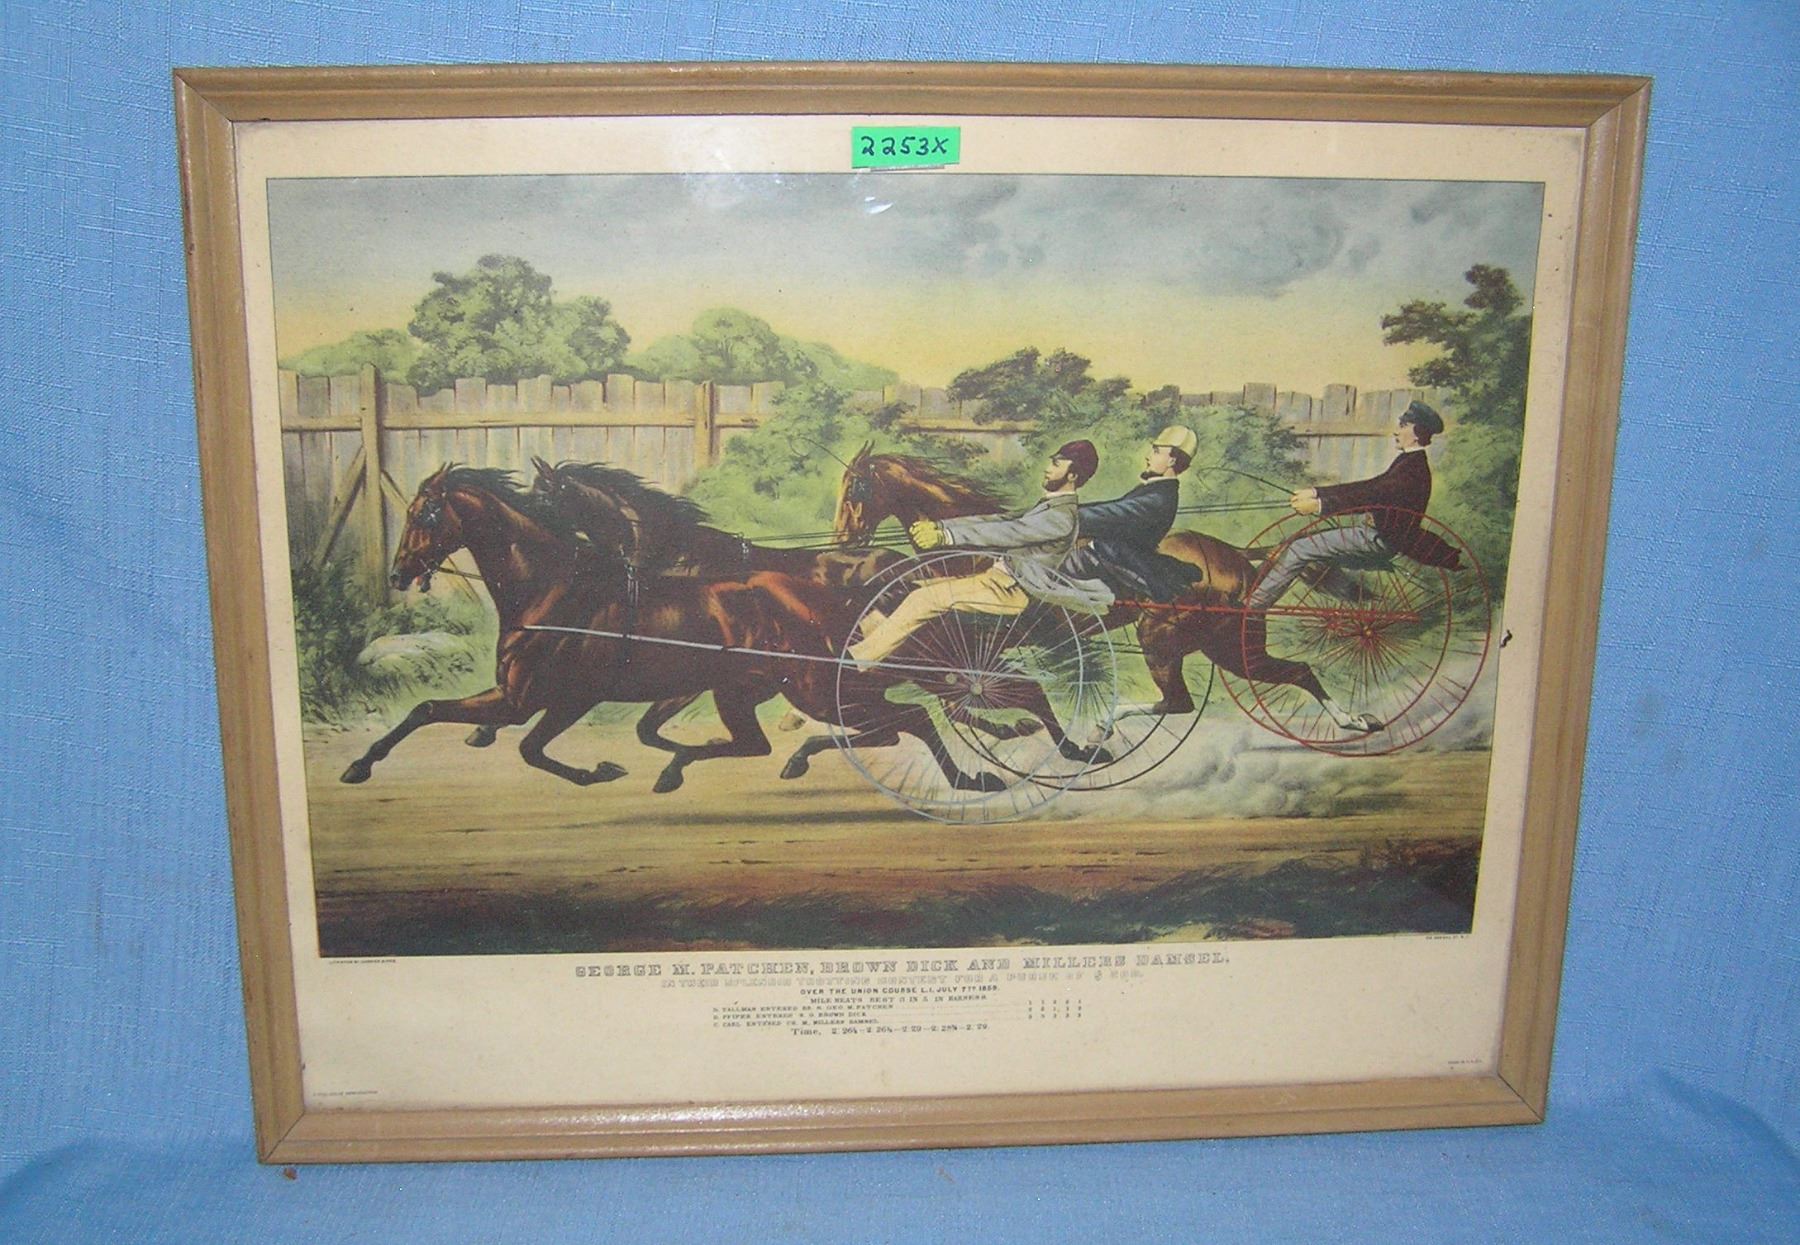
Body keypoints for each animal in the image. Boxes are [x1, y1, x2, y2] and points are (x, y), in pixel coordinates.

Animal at [339, 464, 1035, 797]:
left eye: (426, 512)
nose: (400, 572)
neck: (557, 587)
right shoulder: (538, 698)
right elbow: (437, 712)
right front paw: (361, 766)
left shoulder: (550, 697)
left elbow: (526, 744)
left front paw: (603, 771)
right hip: (774, 687)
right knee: (893, 719)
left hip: (811, 684)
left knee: (910, 715)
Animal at [831, 446, 1342, 725]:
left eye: (855, 487)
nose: (843, 539)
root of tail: (1237, 558)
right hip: (1222, 646)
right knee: (1294, 672)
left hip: (1179, 640)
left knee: (1186, 699)